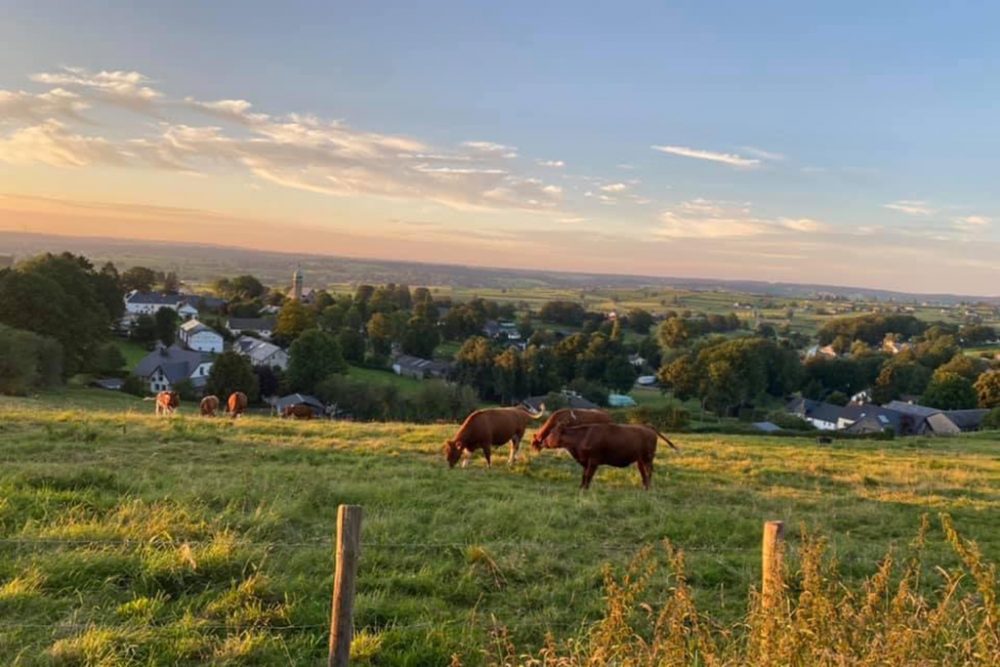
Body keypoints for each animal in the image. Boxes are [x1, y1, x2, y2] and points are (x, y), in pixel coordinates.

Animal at [540, 422, 680, 490]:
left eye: (551, 432)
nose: (543, 442)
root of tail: (647, 426)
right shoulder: (586, 462)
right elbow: (584, 475)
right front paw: (581, 487)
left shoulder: (593, 461)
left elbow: (588, 476)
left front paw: (585, 489)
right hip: (640, 460)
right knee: (644, 473)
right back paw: (644, 487)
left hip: (648, 458)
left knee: (649, 472)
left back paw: (648, 487)